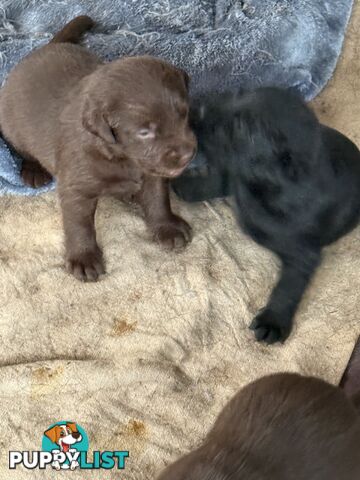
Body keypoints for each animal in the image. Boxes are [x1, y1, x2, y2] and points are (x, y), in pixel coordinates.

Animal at [0, 15, 197, 282]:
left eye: (184, 114)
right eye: (144, 132)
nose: (188, 154)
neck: (121, 156)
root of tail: (47, 46)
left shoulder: (152, 174)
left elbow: (158, 199)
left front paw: (168, 227)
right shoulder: (76, 187)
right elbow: (79, 224)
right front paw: (83, 258)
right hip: (12, 127)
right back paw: (34, 171)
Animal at [173, 89, 360, 344]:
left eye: (241, 127)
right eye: (238, 94)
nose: (194, 108)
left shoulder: (303, 253)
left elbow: (288, 286)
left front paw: (273, 321)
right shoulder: (235, 173)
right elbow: (215, 181)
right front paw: (184, 183)